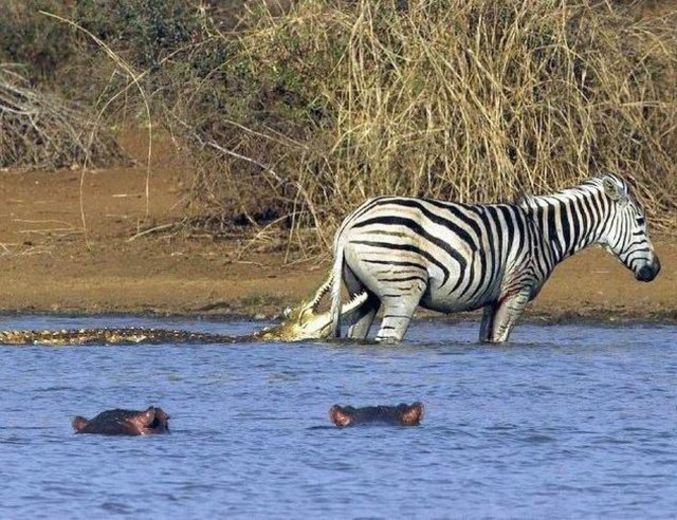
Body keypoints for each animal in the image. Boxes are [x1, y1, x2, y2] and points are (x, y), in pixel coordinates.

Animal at [328, 174, 660, 346]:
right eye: (641, 222)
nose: (655, 270)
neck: (545, 234)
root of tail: (350, 224)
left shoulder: (493, 297)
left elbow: (486, 339)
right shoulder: (518, 291)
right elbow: (501, 338)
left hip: (365, 292)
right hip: (404, 289)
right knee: (389, 335)